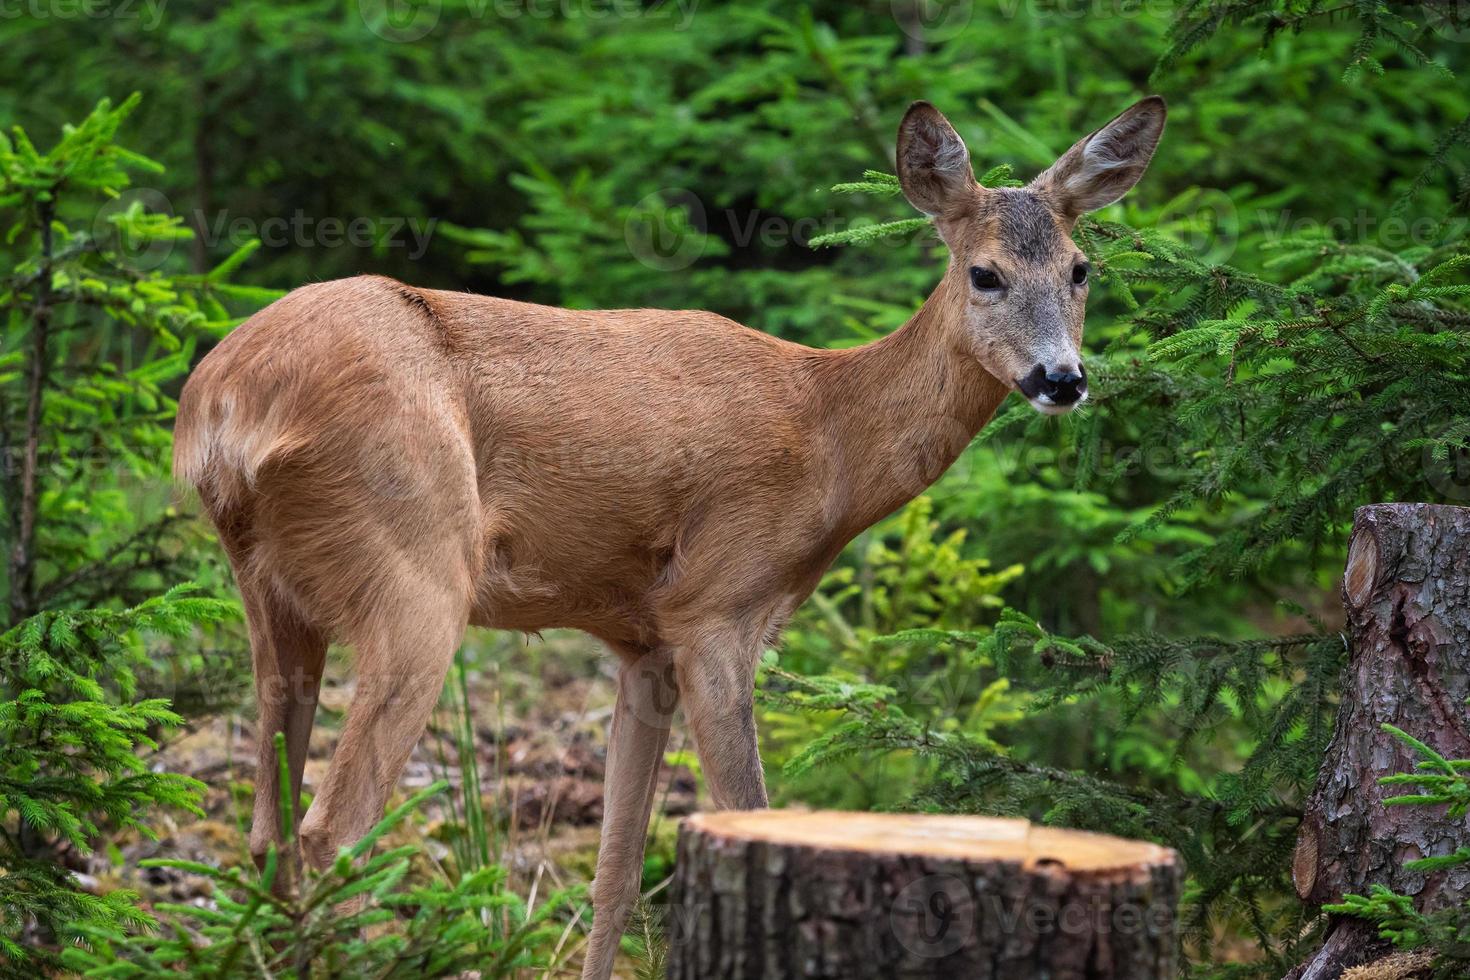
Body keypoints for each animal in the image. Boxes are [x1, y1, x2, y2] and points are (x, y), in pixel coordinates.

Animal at [169, 95, 1158, 975]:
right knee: (329, 831)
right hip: (416, 569)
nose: (1062, 378)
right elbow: (748, 810)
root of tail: (219, 404)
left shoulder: (641, 639)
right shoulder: (717, 605)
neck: (832, 437)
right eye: (985, 273)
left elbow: (613, 874)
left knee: (266, 832)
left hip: (270, 592)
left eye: (1082, 270)